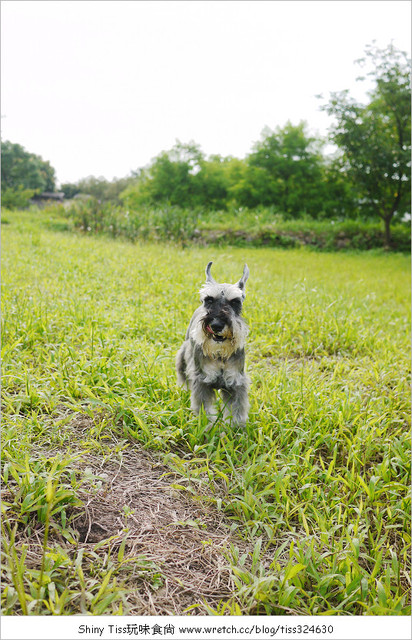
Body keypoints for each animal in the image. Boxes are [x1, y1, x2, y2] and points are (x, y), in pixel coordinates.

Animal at [175, 260, 249, 430]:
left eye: (235, 302)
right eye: (209, 299)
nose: (216, 325)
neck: (220, 353)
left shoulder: (236, 382)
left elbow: (236, 411)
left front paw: (235, 431)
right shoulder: (201, 380)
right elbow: (205, 410)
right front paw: (207, 428)